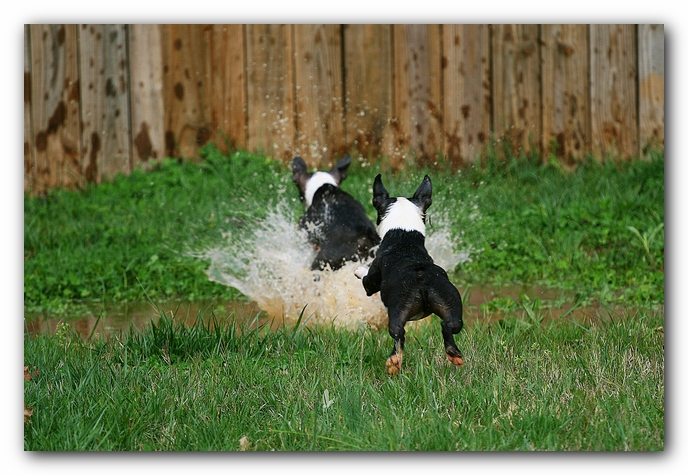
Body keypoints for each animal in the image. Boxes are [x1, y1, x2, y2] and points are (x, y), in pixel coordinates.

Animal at [354, 175, 462, 376]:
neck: (404, 237)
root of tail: (423, 281)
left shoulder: (371, 282)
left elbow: (366, 278)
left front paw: (358, 269)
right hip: (450, 302)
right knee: (448, 326)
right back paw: (453, 354)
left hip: (398, 308)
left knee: (399, 334)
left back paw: (394, 361)